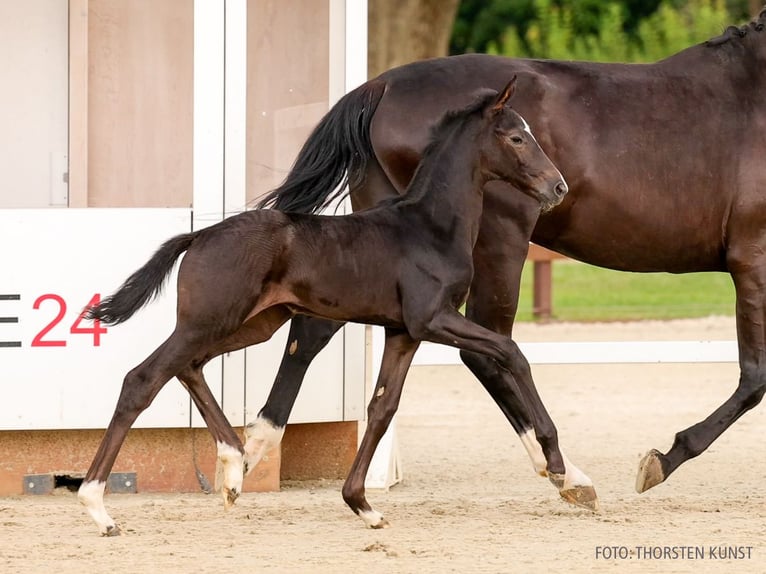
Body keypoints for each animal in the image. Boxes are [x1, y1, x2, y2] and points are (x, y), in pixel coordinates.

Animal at [77, 79, 573, 536]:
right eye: (517, 137)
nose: (558, 187)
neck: (429, 228)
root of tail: (199, 234)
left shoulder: (403, 332)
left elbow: (382, 408)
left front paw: (362, 505)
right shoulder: (432, 320)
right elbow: (512, 353)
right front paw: (558, 463)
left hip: (252, 324)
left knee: (189, 367)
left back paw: (234, 469)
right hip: (208, 321)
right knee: (143, 379)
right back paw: (98, 507)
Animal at [250, 9, 766, 503]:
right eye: (517, 137)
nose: (557, 186)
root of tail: (381, 86)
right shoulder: (752, 260)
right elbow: (755, 378)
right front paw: (662, 459)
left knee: (315, 330)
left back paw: (254, 447)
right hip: (500, 240)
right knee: (490, 346)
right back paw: (566, 472)